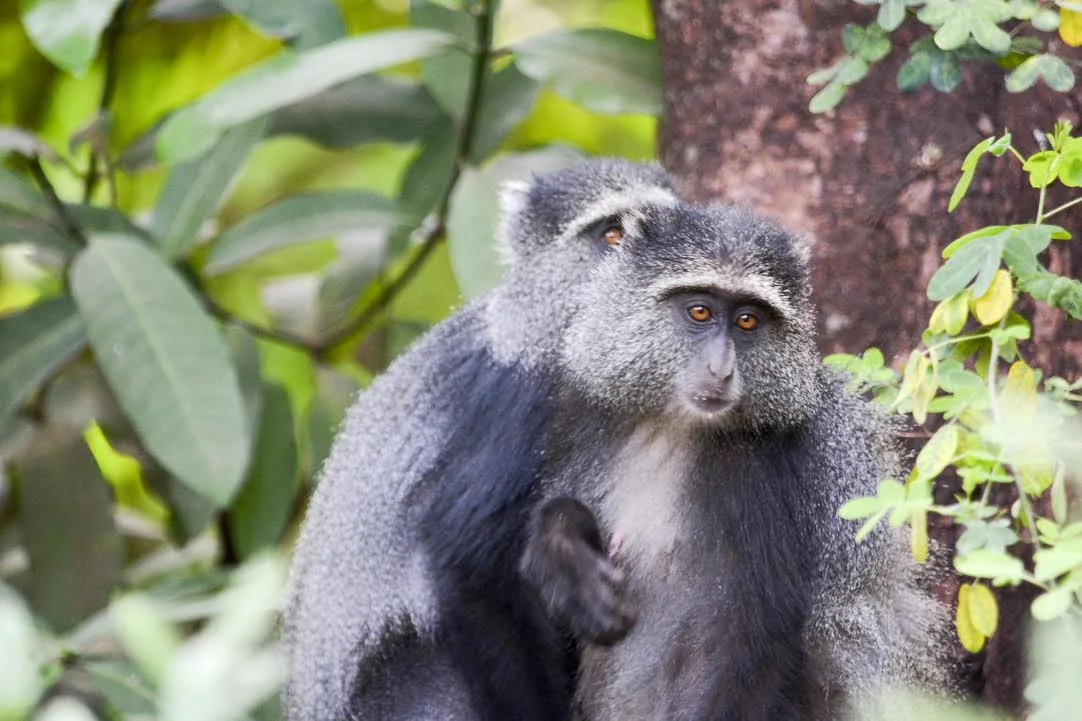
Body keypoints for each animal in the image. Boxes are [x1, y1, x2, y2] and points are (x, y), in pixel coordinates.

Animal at [518, 201, 953, 720]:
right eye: (700, 310)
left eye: (747, 321)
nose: (720, 369)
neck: (676, 428)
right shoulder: (584, 422)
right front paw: (563, 557)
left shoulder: (763, 474)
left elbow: (752, 639)